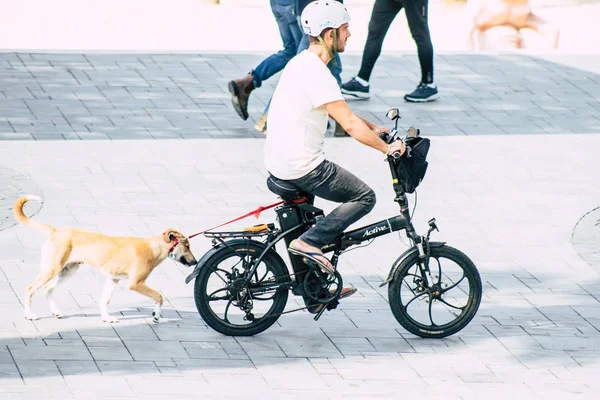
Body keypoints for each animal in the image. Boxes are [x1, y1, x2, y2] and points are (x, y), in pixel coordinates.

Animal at [13, 195, 197, 324]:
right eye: (187, 246)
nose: (195, 262)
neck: (153, 248)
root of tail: (56, 231)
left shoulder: (113, 279)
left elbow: (104, 300)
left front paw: (107, 318)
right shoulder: (136, 283)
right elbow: (159, 296)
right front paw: (156, 315)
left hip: (68, 270)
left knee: (48, 289)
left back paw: (55, 311)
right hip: (51, 269)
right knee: (30, 289)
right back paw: (29, 315)